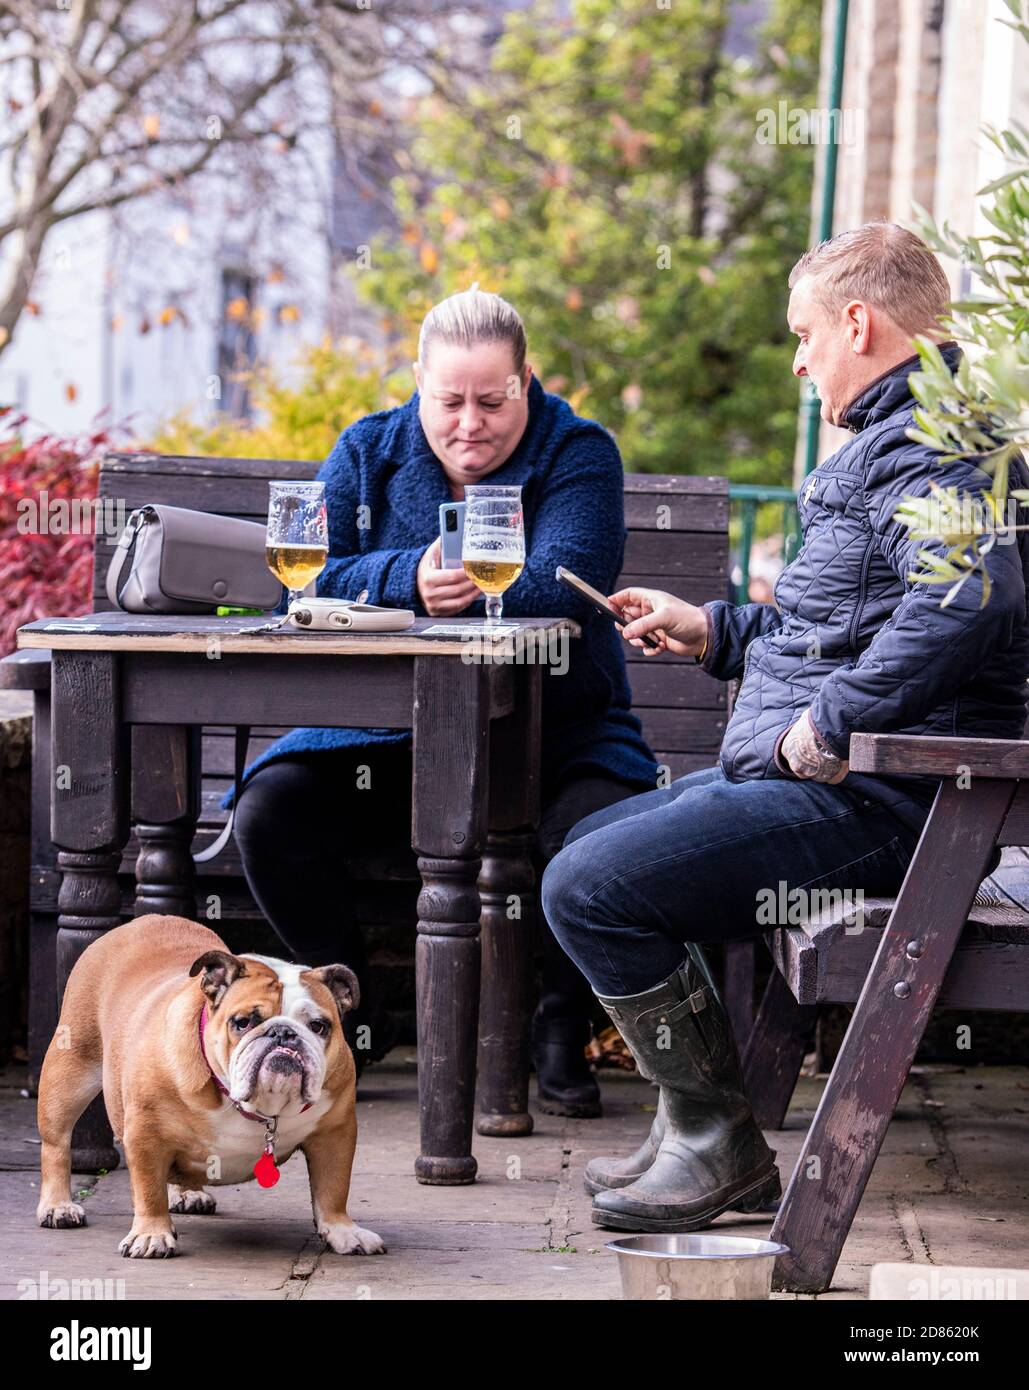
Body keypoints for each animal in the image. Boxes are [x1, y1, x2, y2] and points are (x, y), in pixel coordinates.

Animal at [35, 911, 386, 1262]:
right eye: (242, 1022)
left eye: (319, 1026)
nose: (283, 1034)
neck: (258, 1105)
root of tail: (141, 920)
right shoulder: (146, 1132)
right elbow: (148, 1188)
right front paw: (151, 1234)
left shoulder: (335, 1131)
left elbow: (334, 1187)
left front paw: (343, 1231)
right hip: (69, 1074)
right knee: (56, 1145)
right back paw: (58, 1206)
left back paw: (187, 1193)